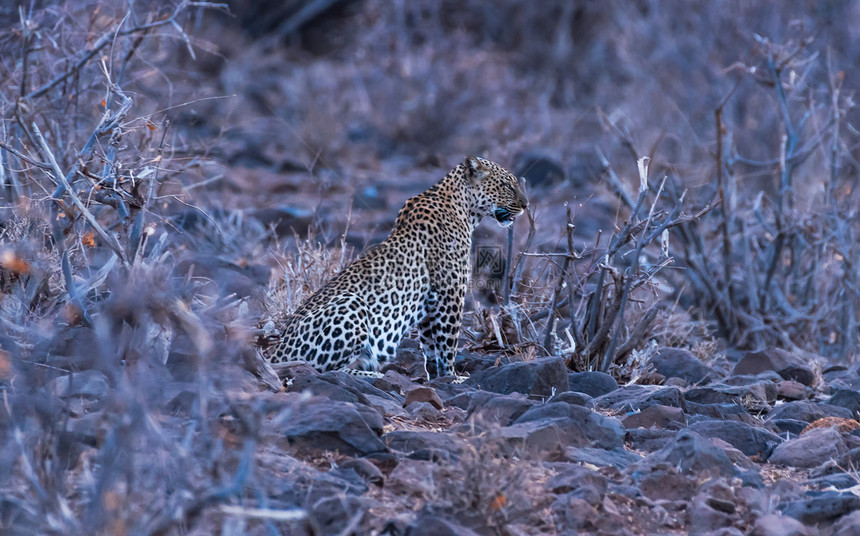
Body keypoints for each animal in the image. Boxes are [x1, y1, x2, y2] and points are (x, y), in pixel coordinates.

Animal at [268, 155, 528, 382]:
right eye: (507, 185)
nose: (526, 205)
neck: (465, 208)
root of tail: (275, 350)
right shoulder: (449, 294)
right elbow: (448, 342)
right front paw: (454, 377)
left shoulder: (429, 303)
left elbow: (431, 346)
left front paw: (436, 377)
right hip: (352, 303)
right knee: (322, 369)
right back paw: (374, 374)